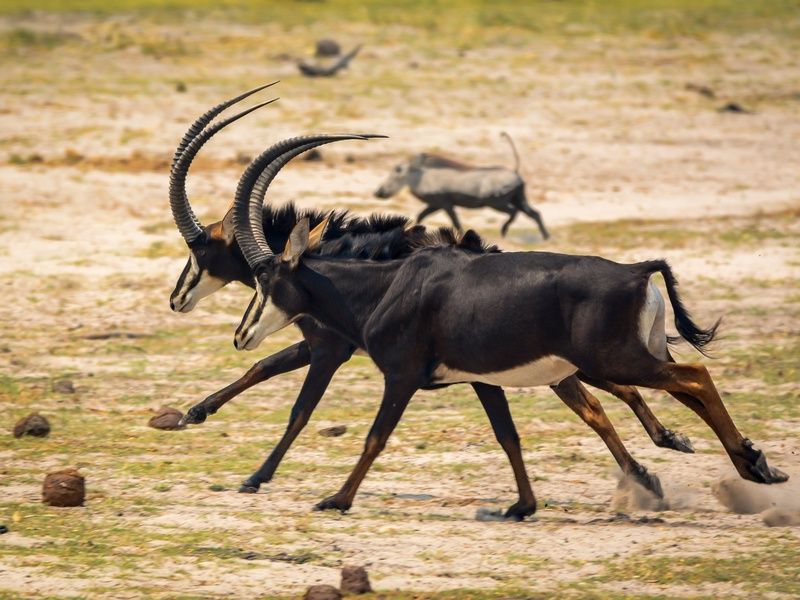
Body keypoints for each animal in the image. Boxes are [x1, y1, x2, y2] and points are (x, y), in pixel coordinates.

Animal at [376, 133, 552, 239]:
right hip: (518, 197)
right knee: (534, 213)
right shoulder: (436, 204)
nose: (378, 193)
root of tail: (514, 171)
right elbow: (421, 216)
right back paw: (546, 238)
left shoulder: (444, 203)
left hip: (496, 202)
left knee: (514, 212)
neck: (420, 177)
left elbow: (455, 222)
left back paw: (503, 232)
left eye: (397, 172)